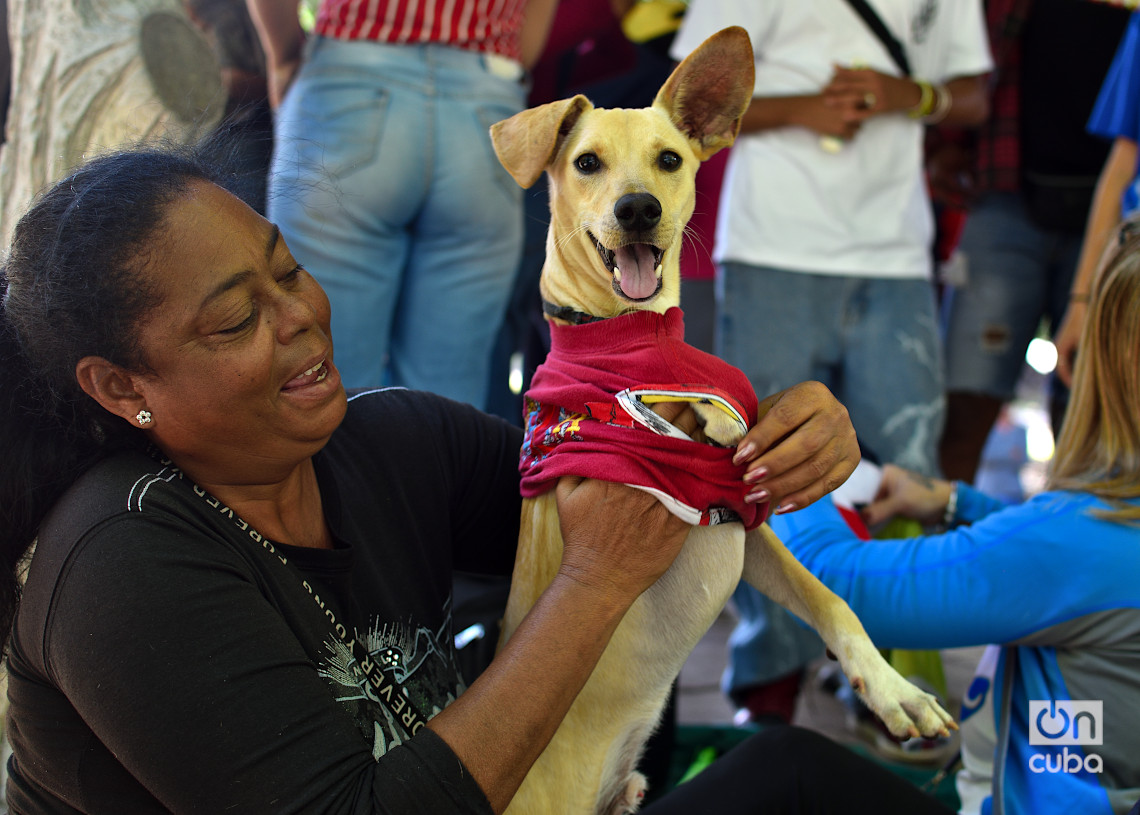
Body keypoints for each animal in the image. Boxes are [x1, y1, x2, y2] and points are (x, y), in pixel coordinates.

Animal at [490, 27, 953, 815]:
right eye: (586, 162)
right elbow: (660, 401)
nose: (638, 209)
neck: (635, 332)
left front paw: (895, 692)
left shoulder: (741, 517)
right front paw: (706, 408)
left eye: (670, 159)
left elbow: (833, 600)